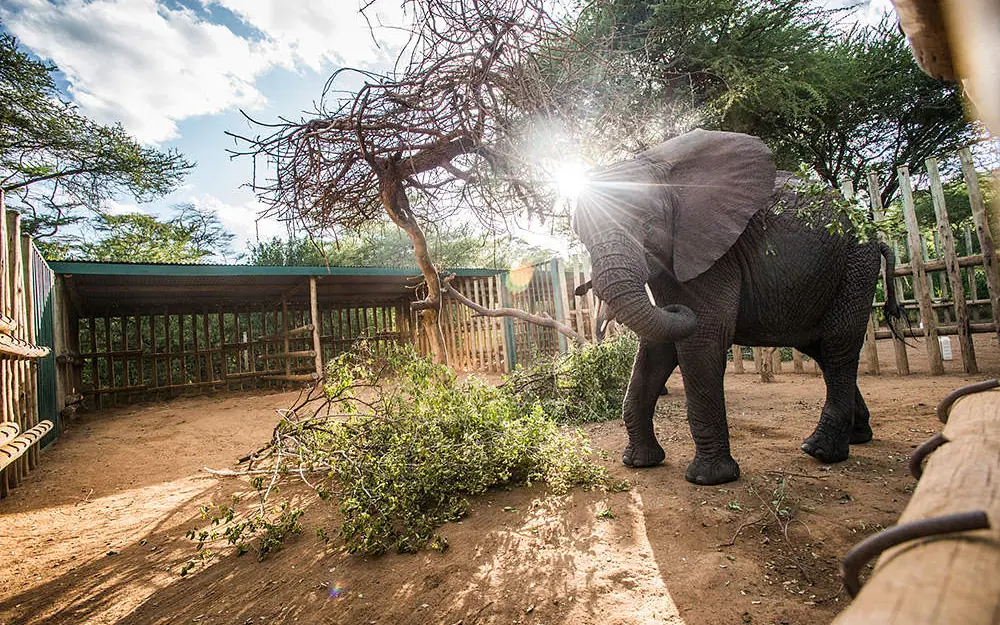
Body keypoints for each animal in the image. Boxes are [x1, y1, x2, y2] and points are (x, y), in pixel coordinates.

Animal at [572, 129, 902, 486]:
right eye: (581, 235)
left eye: (648, 225)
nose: (675, 308)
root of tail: (874, 234)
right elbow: (657, 349)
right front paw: (639, 463)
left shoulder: (716, 254)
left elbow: (701, 339)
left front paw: (709, 479)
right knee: (824, 350)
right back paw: (858, 437)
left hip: (855, 265)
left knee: (838, 345)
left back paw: (821, 451)